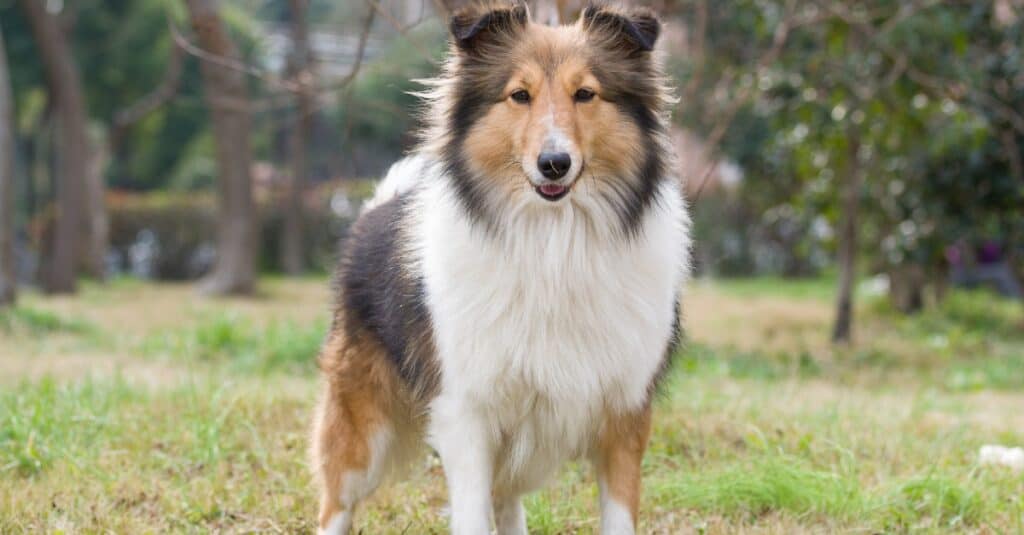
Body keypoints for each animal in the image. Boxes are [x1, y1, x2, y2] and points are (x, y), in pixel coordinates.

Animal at [311, 3, 692, 528]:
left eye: (585, 94)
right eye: (519, 95)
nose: (554, 164)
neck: (553, 244)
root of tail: (374, 208)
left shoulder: (626, 414)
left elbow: (618, 515)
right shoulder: (466, 412)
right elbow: (472, 513)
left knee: (507, 499)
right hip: (361, 426)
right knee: (336, 501)